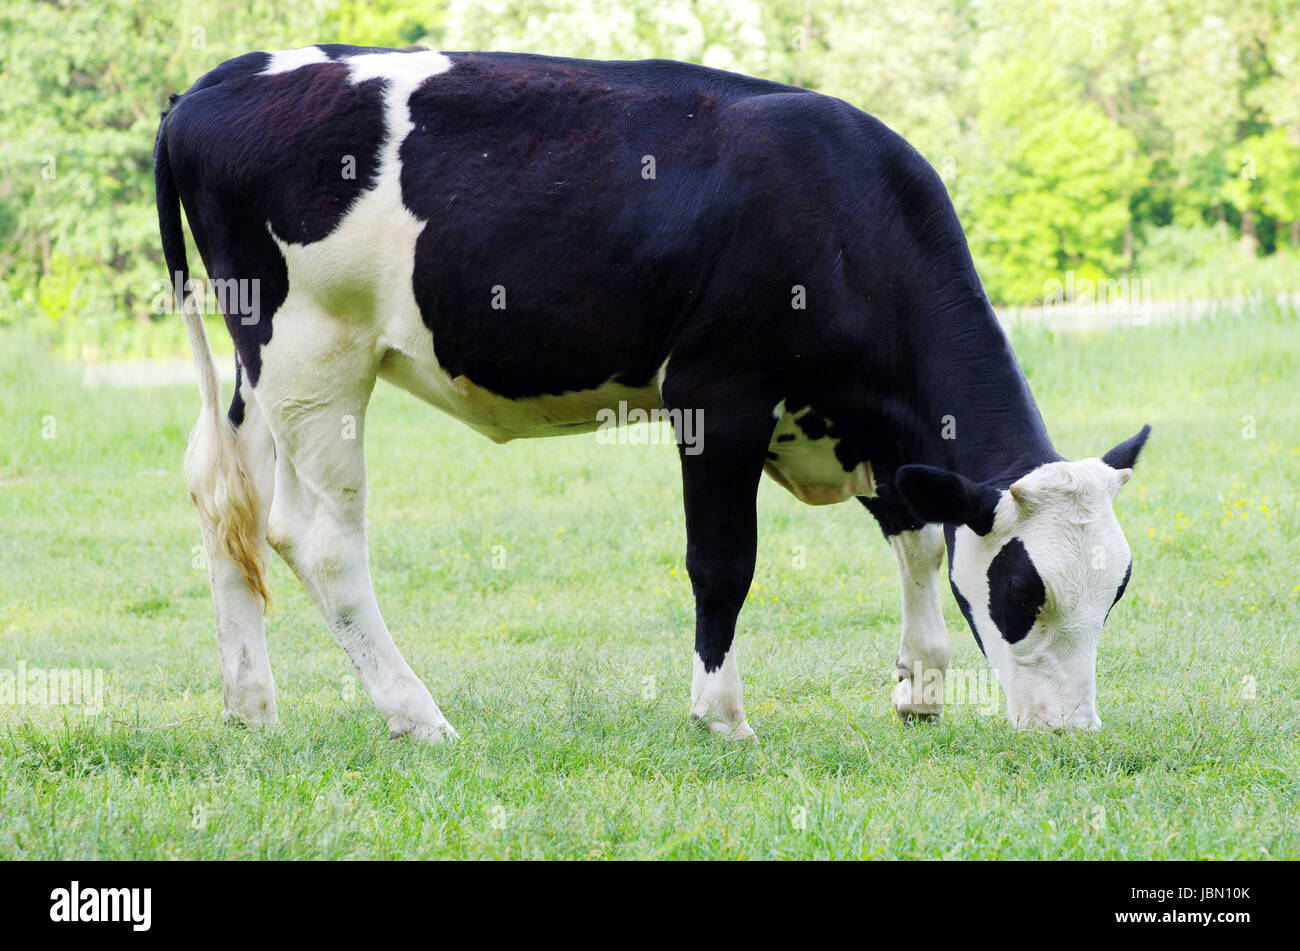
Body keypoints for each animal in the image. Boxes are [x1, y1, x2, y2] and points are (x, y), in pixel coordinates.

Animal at [155, 45, 1150, 742]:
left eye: (1115, 592)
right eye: (1024, 592)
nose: (1073, 731)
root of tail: (222, 79)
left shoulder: (856, 421)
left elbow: (916, 535)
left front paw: (923, 687)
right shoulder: (721, 393)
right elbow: (725, 561)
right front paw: (723, 714)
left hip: (260, 371)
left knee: (232, 506)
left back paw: (251, 705)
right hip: (314, 354)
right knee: (321, 541)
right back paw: (417, 714)